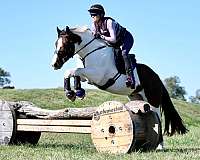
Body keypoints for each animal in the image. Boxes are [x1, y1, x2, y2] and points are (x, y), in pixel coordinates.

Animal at [51, 25, 188, 149]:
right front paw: (75, 93)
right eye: (55, 44)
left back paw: (160, 146)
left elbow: (72, 71)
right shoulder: (87, 75)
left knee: (158, 119)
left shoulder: (97, 75)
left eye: (64, 44)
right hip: (136, 97)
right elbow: (74, 73)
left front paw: (72, 93)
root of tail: (156, 77)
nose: (54, 64)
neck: (91, 52)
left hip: (153, 101)